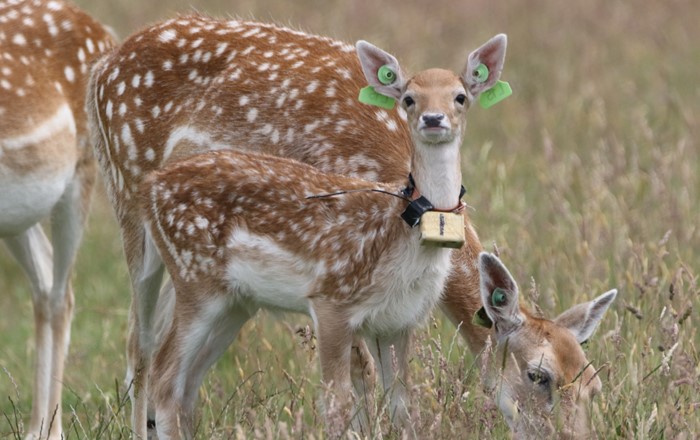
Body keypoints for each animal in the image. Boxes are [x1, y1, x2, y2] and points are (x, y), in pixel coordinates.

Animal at [0, 1, 113, 438]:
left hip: (82, 170)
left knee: (61, 294)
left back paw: (49, 429)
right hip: (18, 213)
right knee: (45, 281)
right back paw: (36, 426)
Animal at [85, 15, 616, 438]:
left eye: (593, 383)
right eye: (538, 375)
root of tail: (102, 67)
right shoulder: (340, 275)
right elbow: (359, 381)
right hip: (130, 204)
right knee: (140, 346)